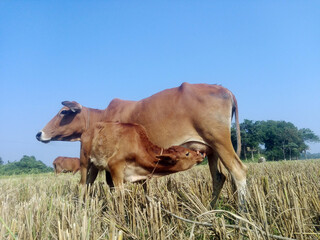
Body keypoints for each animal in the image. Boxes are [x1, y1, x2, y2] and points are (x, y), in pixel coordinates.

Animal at [37, 82, 248, 206]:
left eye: (64, 112)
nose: (39, 134)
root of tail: (225, 90)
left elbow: (106, 185)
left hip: (219, 141)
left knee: (238, 171)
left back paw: (243, 211)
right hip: (210, 150)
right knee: (219, 177)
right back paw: (210, 208)